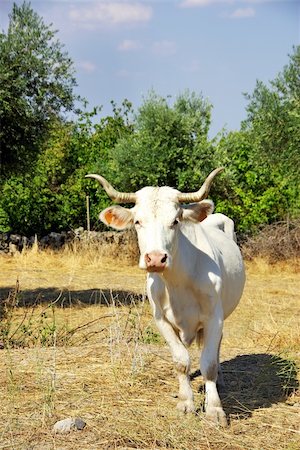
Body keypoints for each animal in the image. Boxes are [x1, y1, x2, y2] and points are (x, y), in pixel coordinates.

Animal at [85, 169, 245, 426]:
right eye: (138, 221)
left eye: (175, 221)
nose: (156, 259)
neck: (178, 283)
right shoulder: (161, 319)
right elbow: (181, 361)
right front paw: (186, 402)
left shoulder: (214, 317)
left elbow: (208, 363)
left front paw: (214, 409)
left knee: (217, 347)